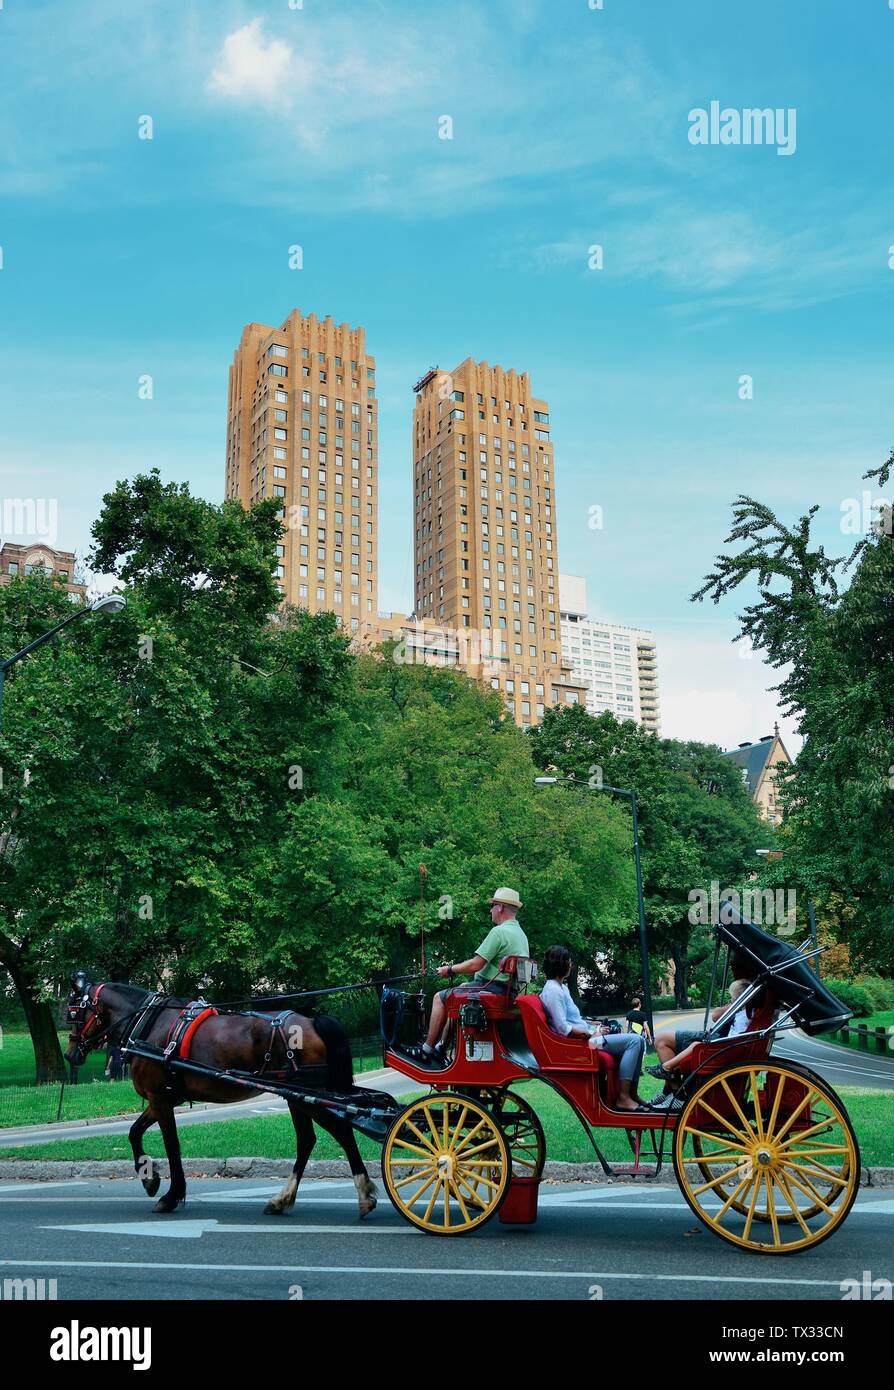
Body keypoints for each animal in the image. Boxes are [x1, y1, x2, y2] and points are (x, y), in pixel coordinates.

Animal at [64, 973, 378, 1223]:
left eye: (74, 1012)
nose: (70, 1054)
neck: (148, 1024)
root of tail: (312, 1022)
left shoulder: (160, 1099)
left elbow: (172, 1145)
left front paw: (170, 1195)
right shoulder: (162, 1098)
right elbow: (134, 1131)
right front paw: (150, 1179)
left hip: (307, 1097)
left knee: (341, 1132)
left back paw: (364, 1195)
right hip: (298, 1096)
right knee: (307, 1141)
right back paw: (282, 1200)